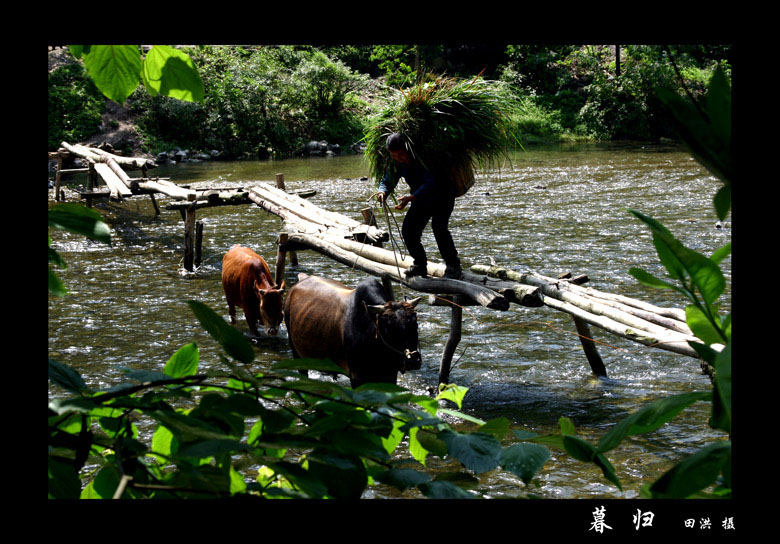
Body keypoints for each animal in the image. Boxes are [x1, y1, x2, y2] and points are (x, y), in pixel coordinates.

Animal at [284, 276, 424, 386]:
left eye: (415, 324)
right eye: (389, 329)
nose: (414, 361)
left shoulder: (390, 374)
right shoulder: (357, 376)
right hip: (295, 350)